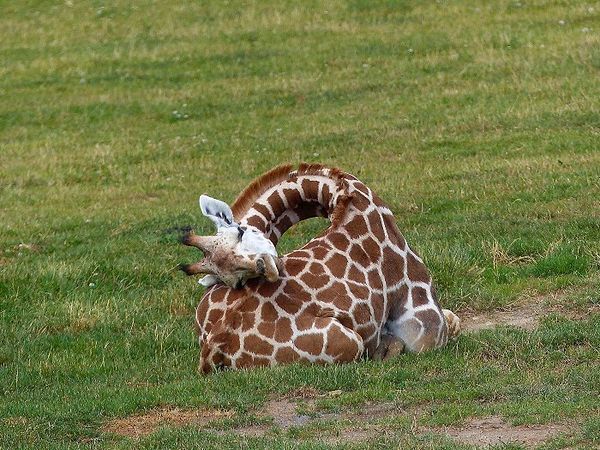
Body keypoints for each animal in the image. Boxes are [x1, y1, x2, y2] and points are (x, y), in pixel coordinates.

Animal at [180, 163, 462, 374]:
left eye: (240, 233)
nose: (269, 268)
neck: (346, 199)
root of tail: (213, 347)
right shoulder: (425, 328)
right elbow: (452, 322)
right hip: (349, 341)